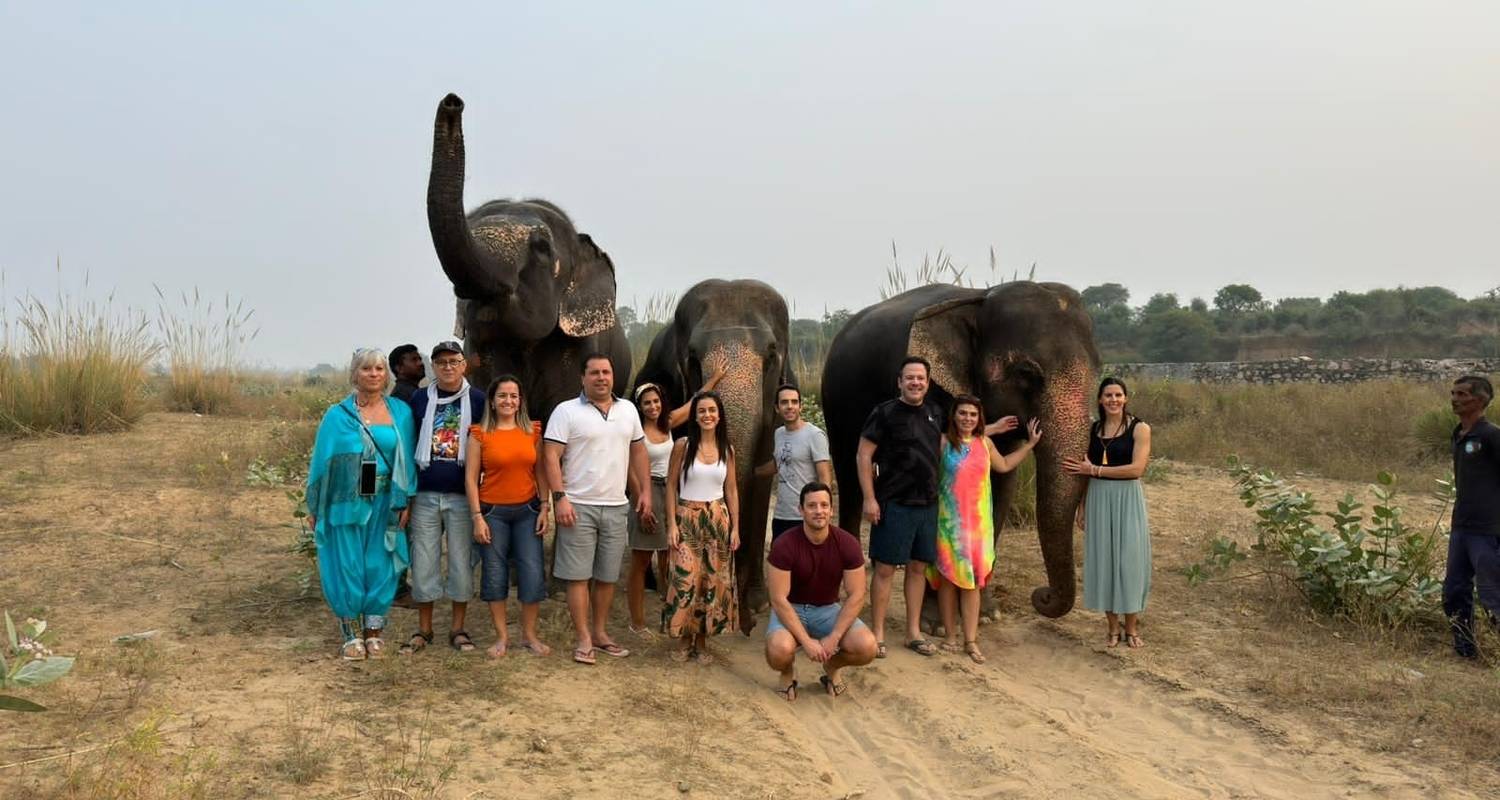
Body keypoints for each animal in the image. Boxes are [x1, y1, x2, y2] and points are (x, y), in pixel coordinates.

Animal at [633, 279, 798, 630]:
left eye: (772, 353)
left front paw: (759, 602)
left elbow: (761, 481)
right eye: (694, 357)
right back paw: (655, 582)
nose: (747, 624)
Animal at [822, 280, 1104, 618]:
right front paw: (935, 620)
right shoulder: (936, 392)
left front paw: (986, 613)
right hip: (837, 404)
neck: (981, 297)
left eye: (1100, 371)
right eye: (1026, 373)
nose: (1042, 596)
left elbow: (1001, 484)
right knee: (851, 478)